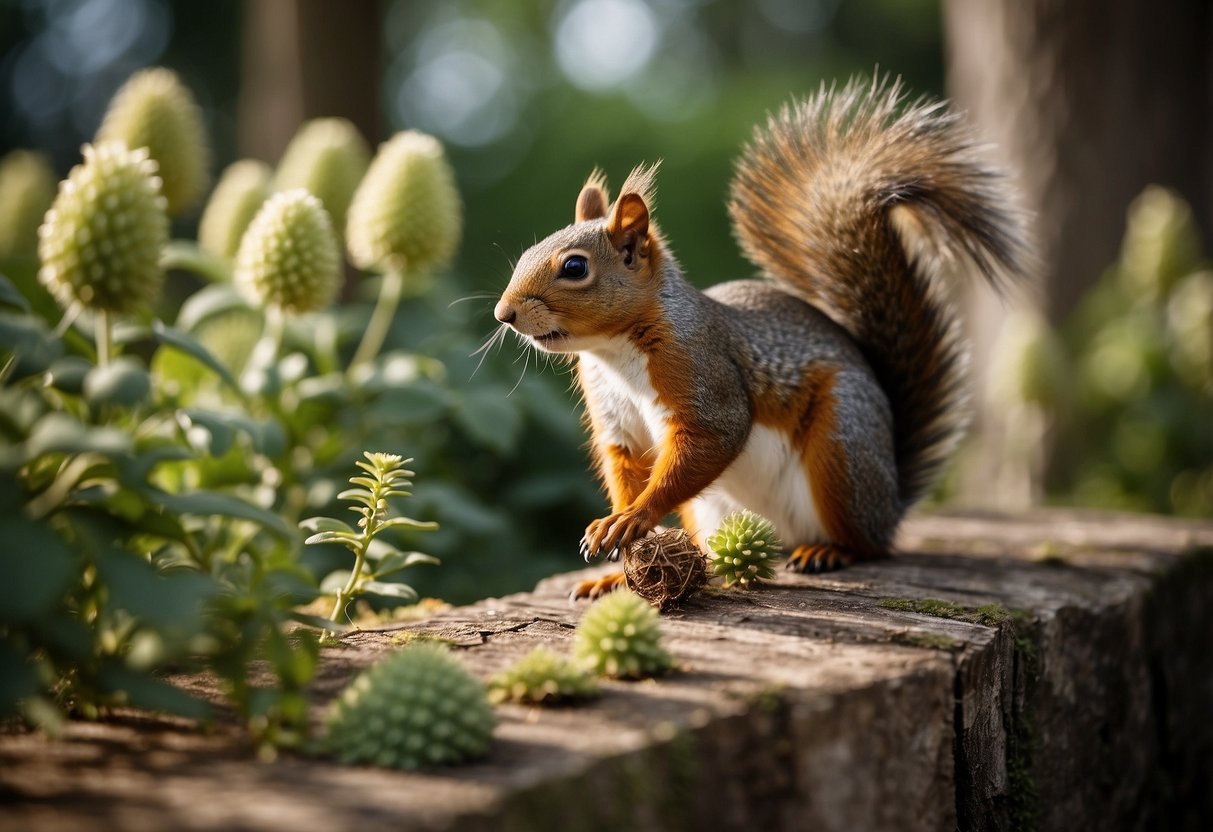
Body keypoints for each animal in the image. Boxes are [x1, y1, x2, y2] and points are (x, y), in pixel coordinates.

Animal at [492, 78, 1033, 599]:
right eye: (527, 254)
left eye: (575, 268)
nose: (504, 314)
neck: (613, 352)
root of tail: (893, 502)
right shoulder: (616, 422)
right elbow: (625, 467)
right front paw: (614, 542)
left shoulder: (704, 372)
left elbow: (711, 439)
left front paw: (633, 518)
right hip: (715, 509)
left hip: (843, 449)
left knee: (869, 543)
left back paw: (830, 551)